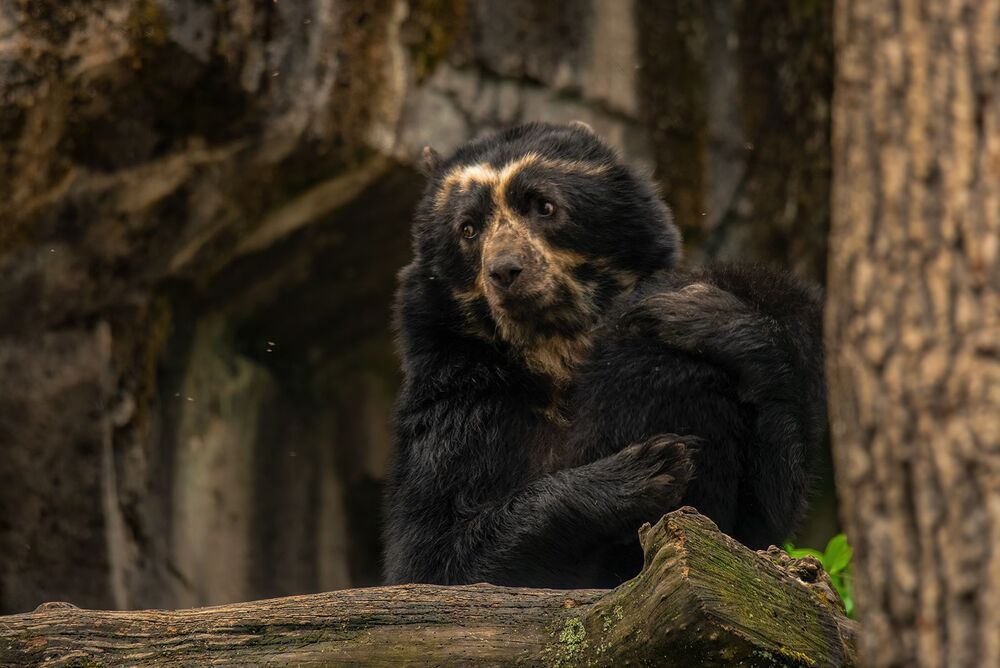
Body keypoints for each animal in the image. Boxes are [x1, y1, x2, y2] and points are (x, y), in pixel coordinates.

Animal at [382, 122, 825, 589]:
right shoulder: (460, 403)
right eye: (467, 229)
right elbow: (432, 557)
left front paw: (690, 309)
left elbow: (760, 525)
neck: (554, 346)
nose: (504, 270)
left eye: (545, 206)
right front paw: (649, 467)